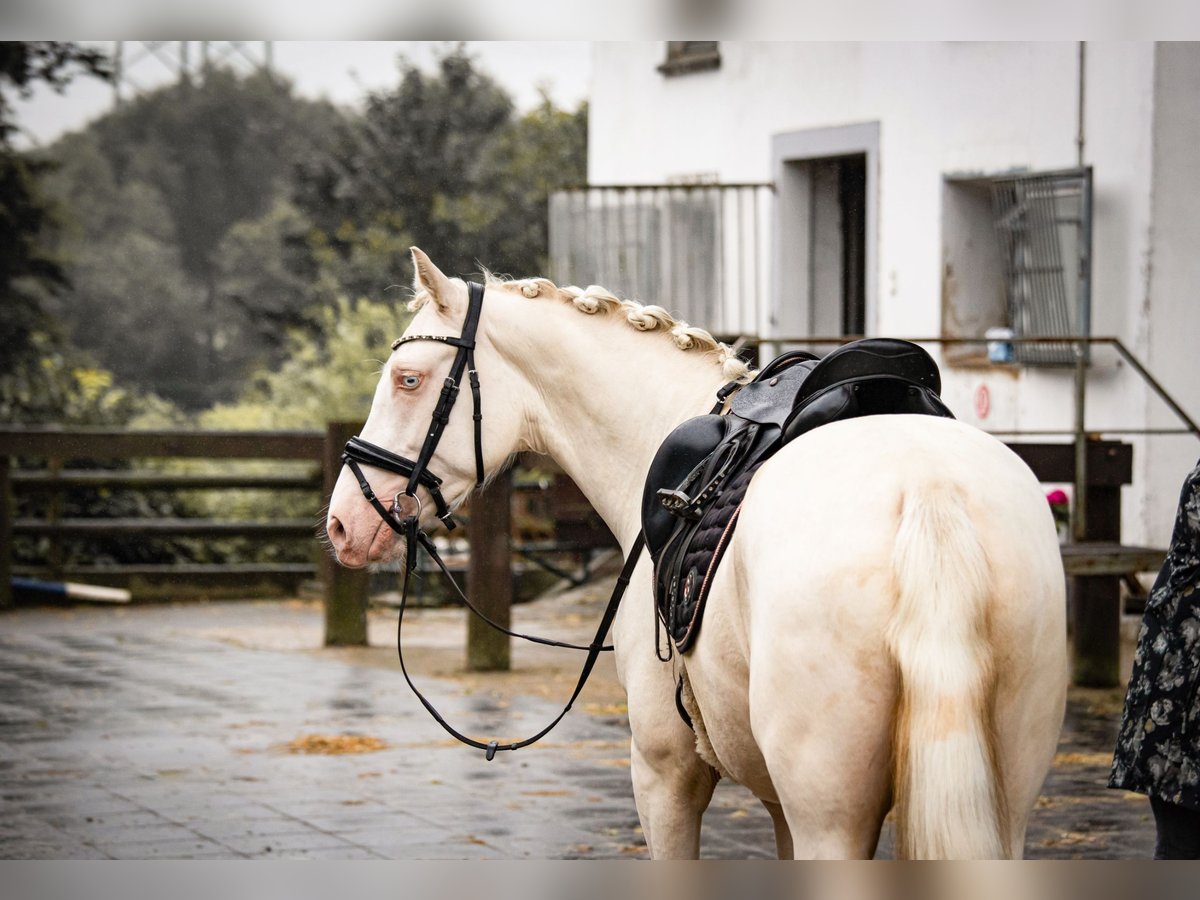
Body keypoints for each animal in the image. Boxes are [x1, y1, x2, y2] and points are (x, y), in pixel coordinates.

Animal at [326, 248, 1070, 859]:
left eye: (408, 379)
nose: (341, 523)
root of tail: (929, 492)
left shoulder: (665, 774)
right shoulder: (773, 799)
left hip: (828, 812)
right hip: (1003, 801)